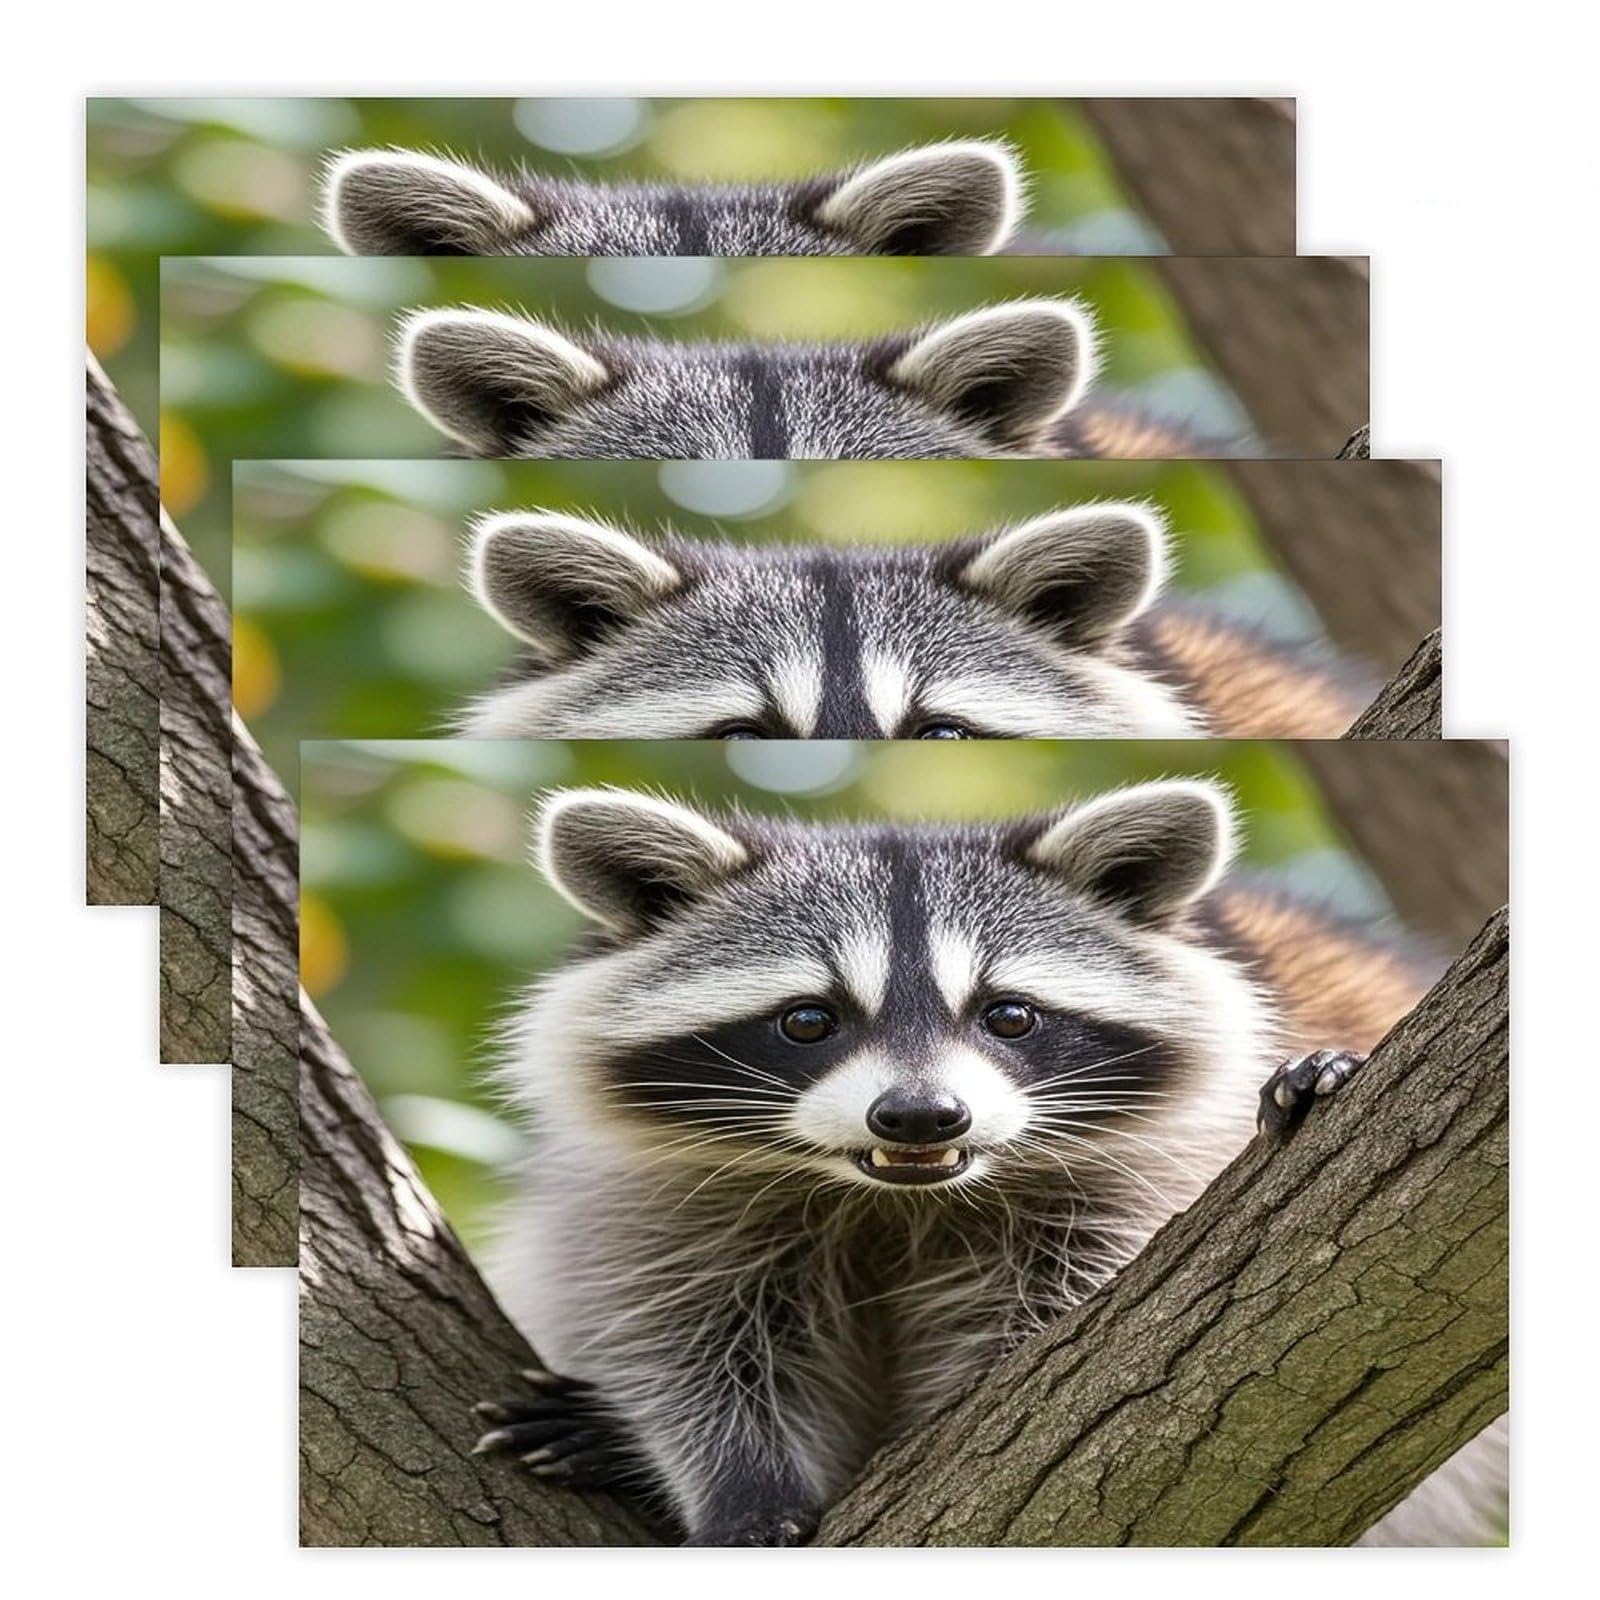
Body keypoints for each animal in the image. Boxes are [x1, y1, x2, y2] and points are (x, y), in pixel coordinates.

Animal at [475, 782, 1505, 1546]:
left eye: (1008, 1015)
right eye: (808, 1020)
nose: (921, 1115)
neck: (894, 1195)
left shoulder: (1146, 1178)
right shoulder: (666, 1195)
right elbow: (687, 1337)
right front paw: (740, 1485)